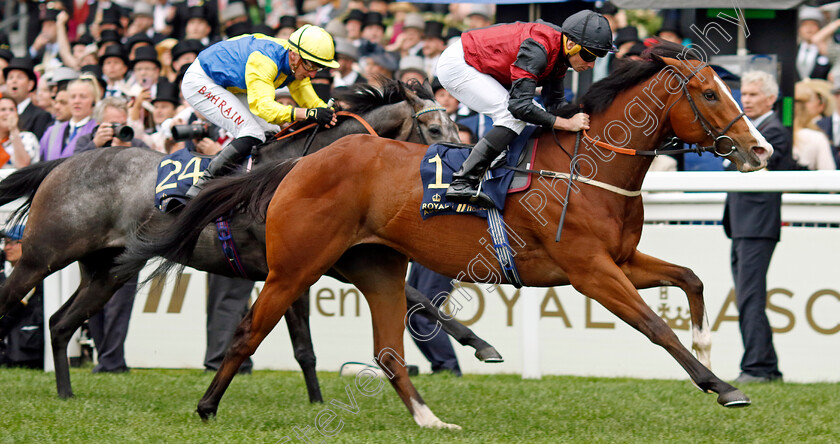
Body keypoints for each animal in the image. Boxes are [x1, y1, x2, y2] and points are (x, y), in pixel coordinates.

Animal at [0, 79, 498, 398]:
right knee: (16, 301)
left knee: (59, 323)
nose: (468, 169)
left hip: (107, 272)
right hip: (41, 257)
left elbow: (417, 302)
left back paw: (66, 394)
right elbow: (311, 344)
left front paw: (483, 346)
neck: (308, 168)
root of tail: (65, 161)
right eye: (433, 130)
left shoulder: (329, 264)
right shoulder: (301, 267)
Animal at [120, 41, 776, 426]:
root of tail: (298, 165)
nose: (762, 150)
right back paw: (206, 407)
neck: (586, 166)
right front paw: (722, 386)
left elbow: (691, 279)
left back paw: (431, 421)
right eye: (711, 92)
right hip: (294, 268)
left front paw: (712, 349)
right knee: (248, 332)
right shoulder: (590, 271)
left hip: (374, 267)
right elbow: (654, 325)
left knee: (389, 350)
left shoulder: (621, 257)